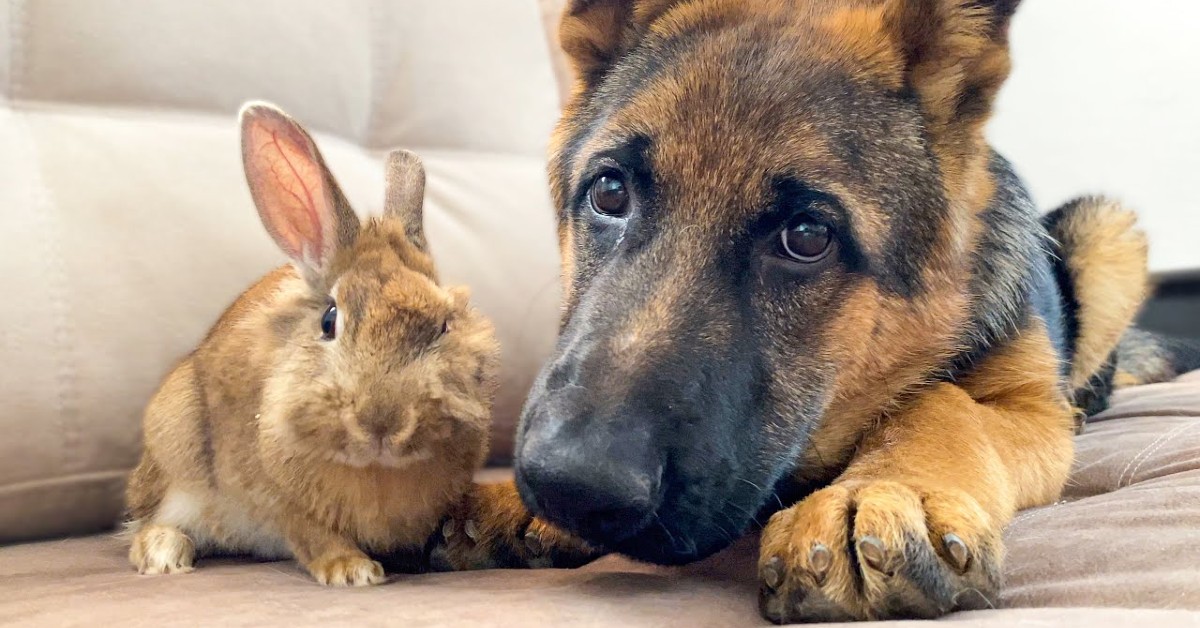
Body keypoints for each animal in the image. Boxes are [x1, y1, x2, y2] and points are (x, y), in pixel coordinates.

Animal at [125, 104, 535, 590]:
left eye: (444, 325)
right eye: (329, 320)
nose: (383, 422)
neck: (376, 468)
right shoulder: (276, 498)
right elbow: (311, 534)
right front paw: (353, 571)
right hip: (174, 447)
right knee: (149, 521)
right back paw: (164, 554)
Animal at [504, 0, 1200, 619]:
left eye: (808, 236)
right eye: (609, 192)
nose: (572, 486)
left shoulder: (1030, 411)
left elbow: (944, 400)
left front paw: (885, 487)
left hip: (1107, 233)